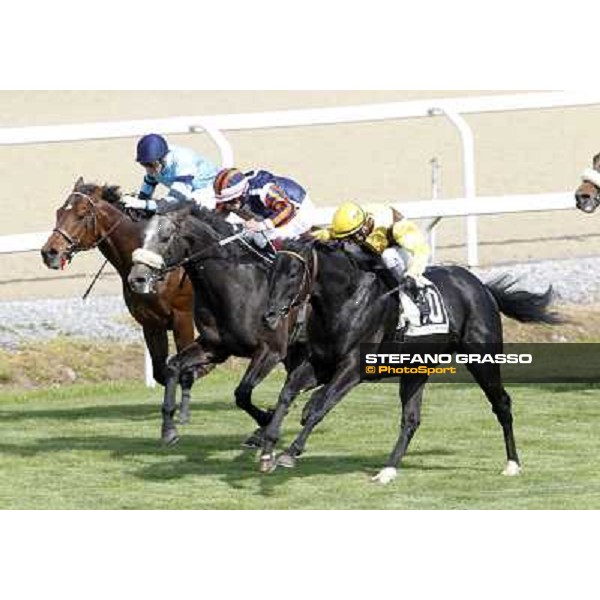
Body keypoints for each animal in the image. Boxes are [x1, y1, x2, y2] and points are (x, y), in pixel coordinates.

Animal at [42, 178, 197, 422]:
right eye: (59, 212)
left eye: (82, 214)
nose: (49, 253)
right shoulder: (151, 323)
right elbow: (161, 371)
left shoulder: (183, 317)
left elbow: (185, 369)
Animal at [125, 204, 304, 448]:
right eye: (143, 236)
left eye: (165, 237)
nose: (137, 279)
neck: (236, 287)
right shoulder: (215, 348)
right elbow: (173, 366)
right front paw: (169, 429)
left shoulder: (271, 350)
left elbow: (242, 393)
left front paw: (265, 421)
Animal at [260, 239, 560, 482]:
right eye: (271, 271)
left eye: (293, 273)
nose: (269, 315)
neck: (346, 301)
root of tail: (480, 286)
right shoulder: (320, 364)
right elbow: (287, 394)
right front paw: (267, 448)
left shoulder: (352, 368)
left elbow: (319, 406)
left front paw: (290, 452)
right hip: (416, 369)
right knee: (411, 419)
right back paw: (387, 470)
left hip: (482, 360)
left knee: (502, 404)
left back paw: (512, 464)